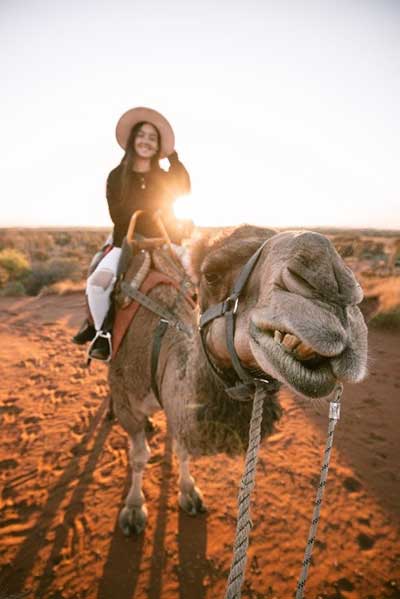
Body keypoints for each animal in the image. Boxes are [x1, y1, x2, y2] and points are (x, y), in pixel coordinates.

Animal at [108, 225, 368, 536]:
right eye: (210, 274)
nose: (332, 279)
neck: (156, 345)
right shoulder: (127, 401)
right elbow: (138, 456)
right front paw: (134, 509)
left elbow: (182, 448)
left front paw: (188, 492)